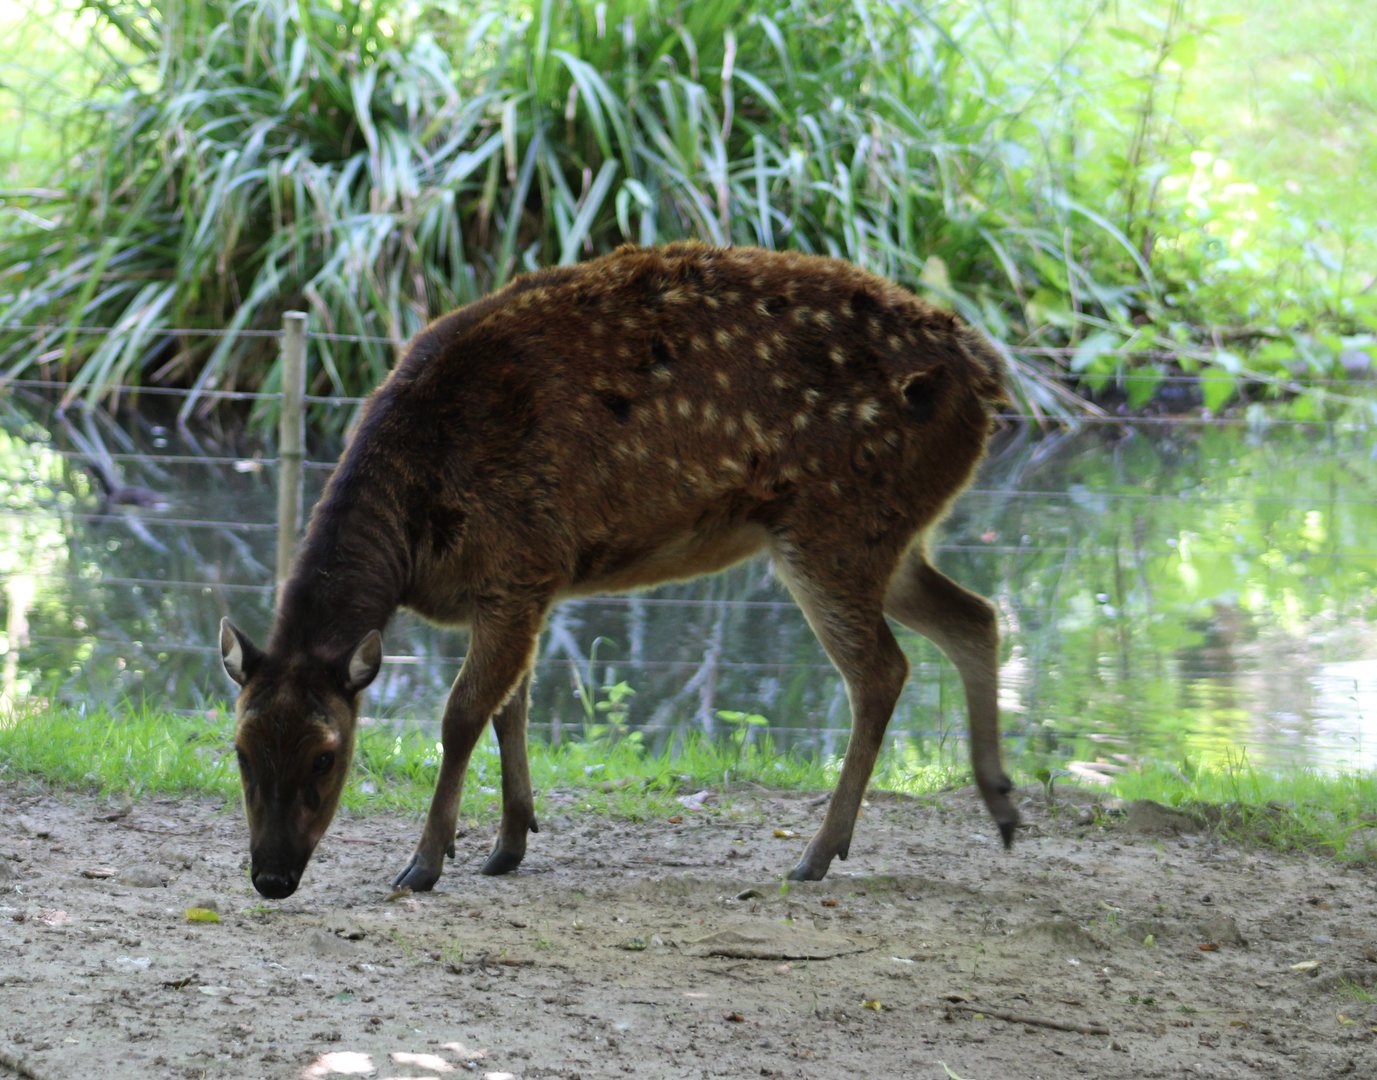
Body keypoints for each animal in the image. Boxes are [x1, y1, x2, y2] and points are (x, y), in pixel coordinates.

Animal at [219, 241, 1019, 900]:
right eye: (239, 750)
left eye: (326, 757)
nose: (271, 877)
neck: (417, 532)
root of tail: (989, 381)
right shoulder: (519, 589)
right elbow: (512, 708)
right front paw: (509, 842)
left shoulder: (521, 562)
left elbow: (461, 713)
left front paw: (424, 863)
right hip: (892, 534)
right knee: (976, 616)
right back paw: (1002, 805)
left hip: (834, 525)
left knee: (883, 669)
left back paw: (818, 853)